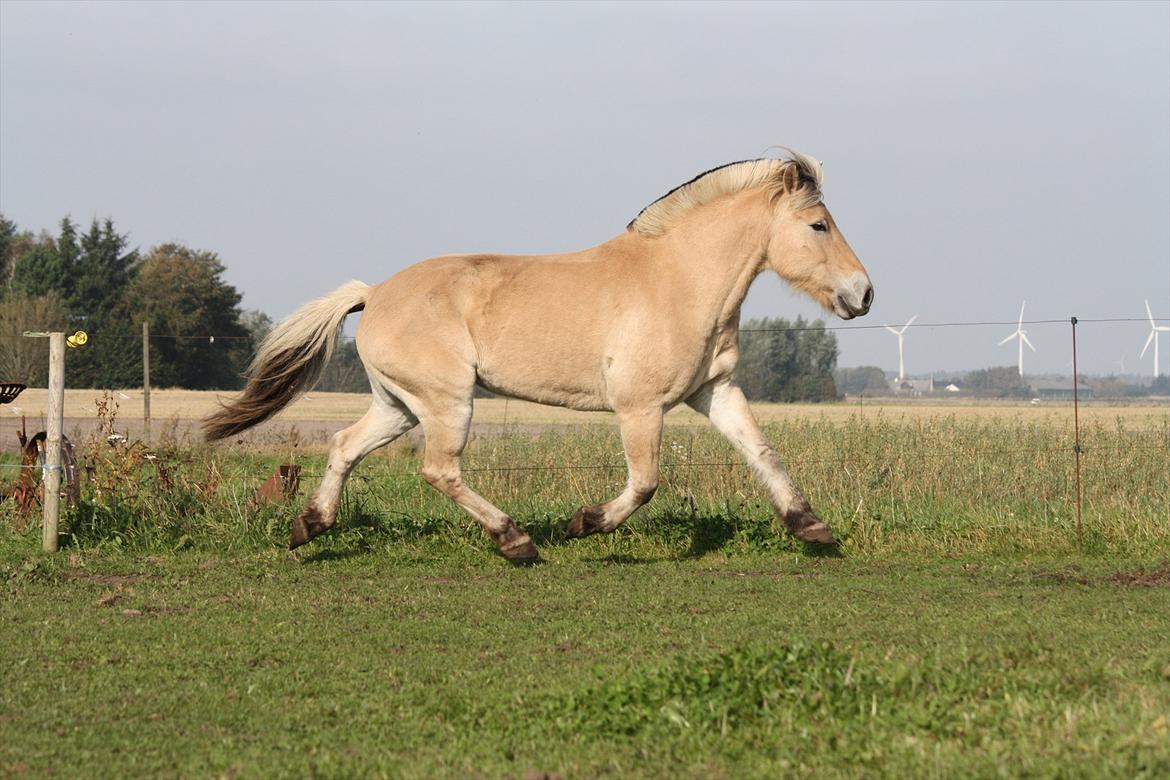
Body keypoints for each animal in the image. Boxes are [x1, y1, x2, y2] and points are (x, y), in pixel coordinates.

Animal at [205, 150, 875, 561]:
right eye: (818, 225)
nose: (863, 294)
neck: (680, 280)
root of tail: (374, 294)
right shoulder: (640, 407)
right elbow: (645, 482)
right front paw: (585, 523)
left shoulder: (715, 392)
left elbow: (763, 453)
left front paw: (813, 528)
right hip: (445, 401)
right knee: (439, 470)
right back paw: (516, 541)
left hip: (397, 405)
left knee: (344, 445)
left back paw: (309, 526)